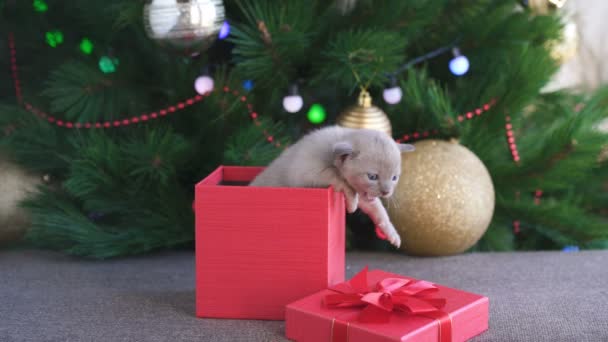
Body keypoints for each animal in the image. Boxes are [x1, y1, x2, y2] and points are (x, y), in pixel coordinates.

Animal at [249, 124, 416, 247]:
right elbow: (336, 176)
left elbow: (380, 211)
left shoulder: (363, 194)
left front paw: (393, 234)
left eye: (394, 178)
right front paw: (352, 204)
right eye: (372, 177)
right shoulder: (306, 172)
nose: (386, 192)